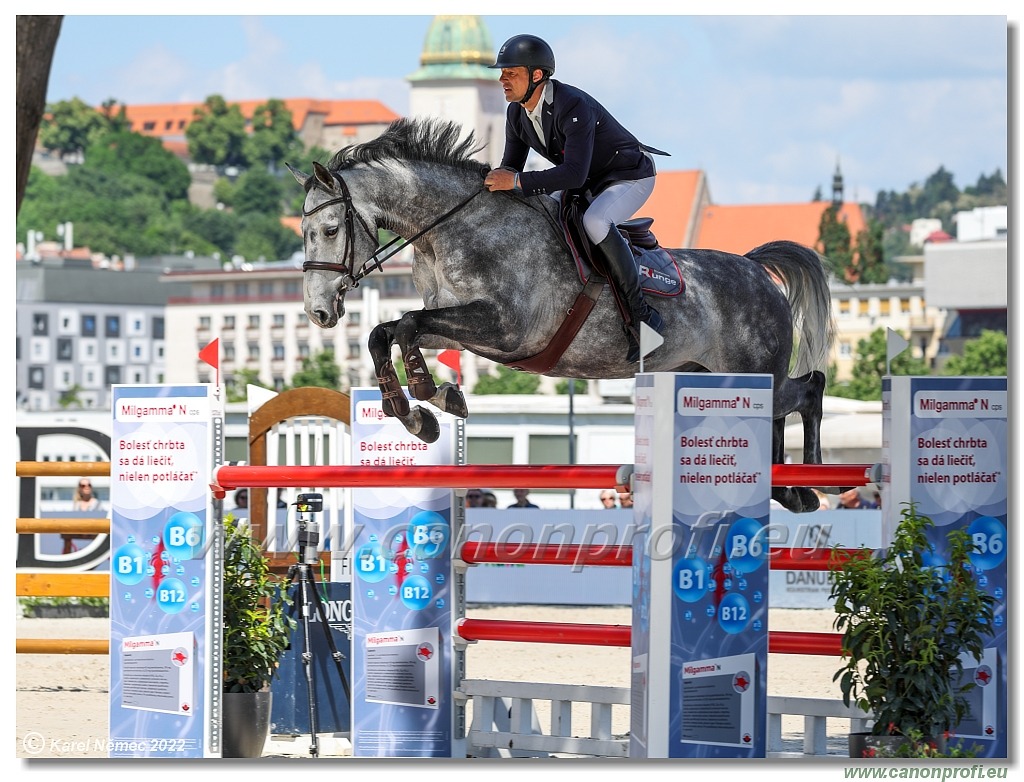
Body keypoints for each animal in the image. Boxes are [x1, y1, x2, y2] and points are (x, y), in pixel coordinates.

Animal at [290, 117, 839, 513]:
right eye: (305, 232)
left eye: (332, 229)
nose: (318, 312)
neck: (454, 228)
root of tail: (755, 270)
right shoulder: (464, 329)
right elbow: (385, 333)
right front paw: (418, 415)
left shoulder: (503, 328)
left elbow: (405, 325)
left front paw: (433, 395)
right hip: (711, 378)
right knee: (780, 413)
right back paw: (789, 490)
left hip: (748, 372)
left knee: (808, 388)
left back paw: (814, 485)